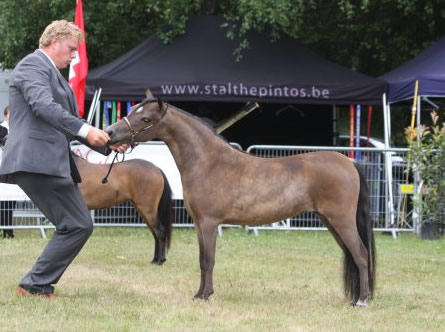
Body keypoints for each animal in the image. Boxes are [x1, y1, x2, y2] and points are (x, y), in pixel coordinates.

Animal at [104, 90, 374, 306]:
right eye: (134, 110)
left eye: (145, 118)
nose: (109, 132)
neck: (208, 162)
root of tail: (349, 163)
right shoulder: (199, 224)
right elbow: (202, 260)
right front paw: (200, 294)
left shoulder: (209, 223)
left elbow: (208, 260)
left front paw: (205, 296)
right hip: (330, 222)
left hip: (342, 221)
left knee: (361, 254)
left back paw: (361, 300)